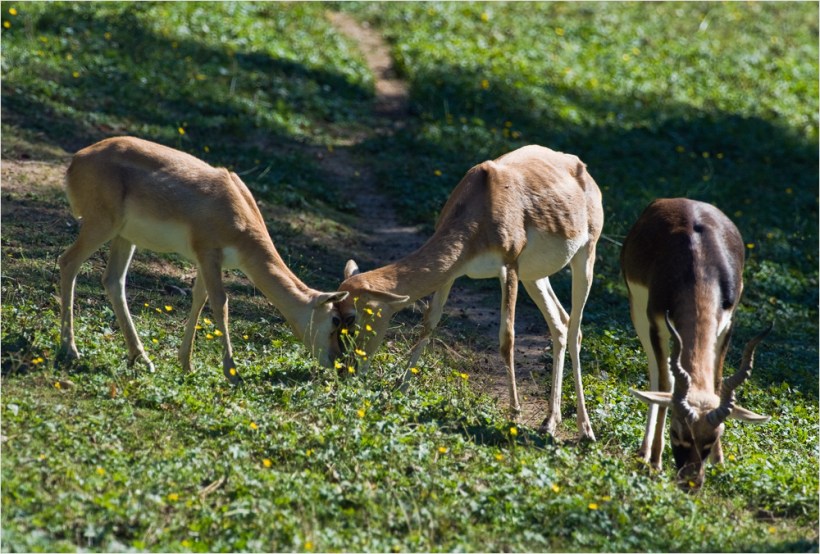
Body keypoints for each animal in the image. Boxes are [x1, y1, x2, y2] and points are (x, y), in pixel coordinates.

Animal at [57, 136, 348, 383]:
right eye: (335, 320)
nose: (339, 363)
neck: (236, 211)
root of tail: (77, 160)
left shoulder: (202, 260)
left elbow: (199, 297)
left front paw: (186, 364)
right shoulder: (209, 254)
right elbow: (221, 302)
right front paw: (232, 373)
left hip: (125, 236)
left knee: (113, 280)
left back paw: (142, 359)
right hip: (101, 225)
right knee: (68, 261)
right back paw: (70, 350)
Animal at [334, 145, 603, 440]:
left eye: (351, 318)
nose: (346, 370)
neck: (482, 204)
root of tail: (582, 169)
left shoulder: (509, 267)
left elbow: (507, 338)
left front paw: (515, 415)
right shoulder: (452, 272)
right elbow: (429, 323)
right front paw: (399, 389)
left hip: (584, 257)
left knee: (576, 328)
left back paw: (586, 430)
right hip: (534, 275)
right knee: (560, 324)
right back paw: (549, 422)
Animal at [621, 198, 771, 490]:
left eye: (713, 437)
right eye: (677, 431)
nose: (691, 482)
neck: (699, 269)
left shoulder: (727, 324)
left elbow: (718, 381)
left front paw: (720, 462)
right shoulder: (657, 324)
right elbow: (665, 385)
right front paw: (655, 461)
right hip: (638, 313)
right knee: (656, 376)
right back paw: (645, 451)